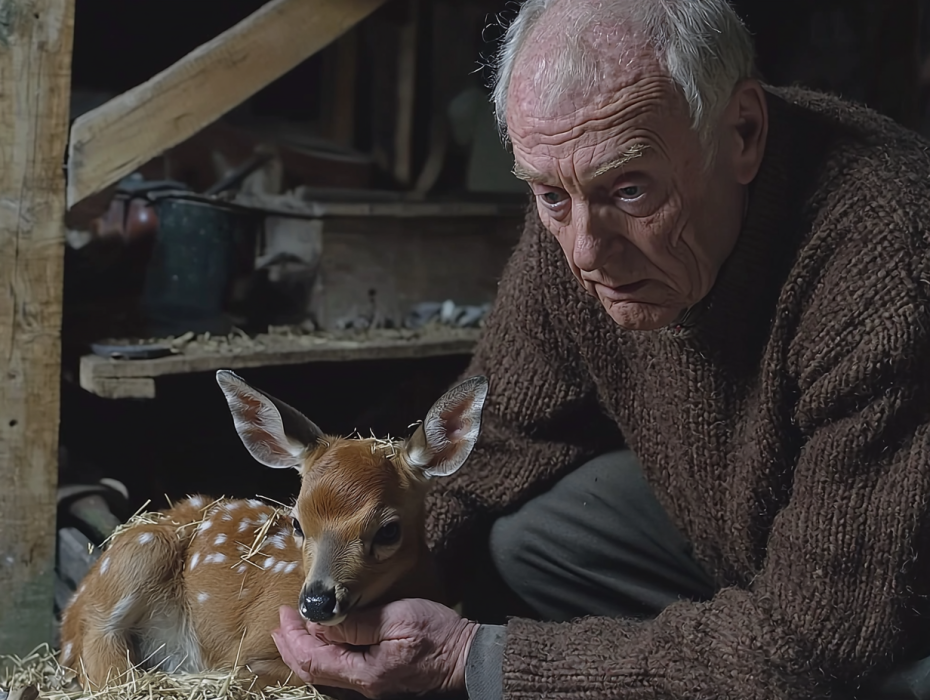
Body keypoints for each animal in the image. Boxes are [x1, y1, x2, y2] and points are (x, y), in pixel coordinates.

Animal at [57, 369, 488, 690]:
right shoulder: (255, 641)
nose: (316, 602)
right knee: (101, 651)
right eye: (297, 522)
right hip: (140, 552)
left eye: (388, 531)